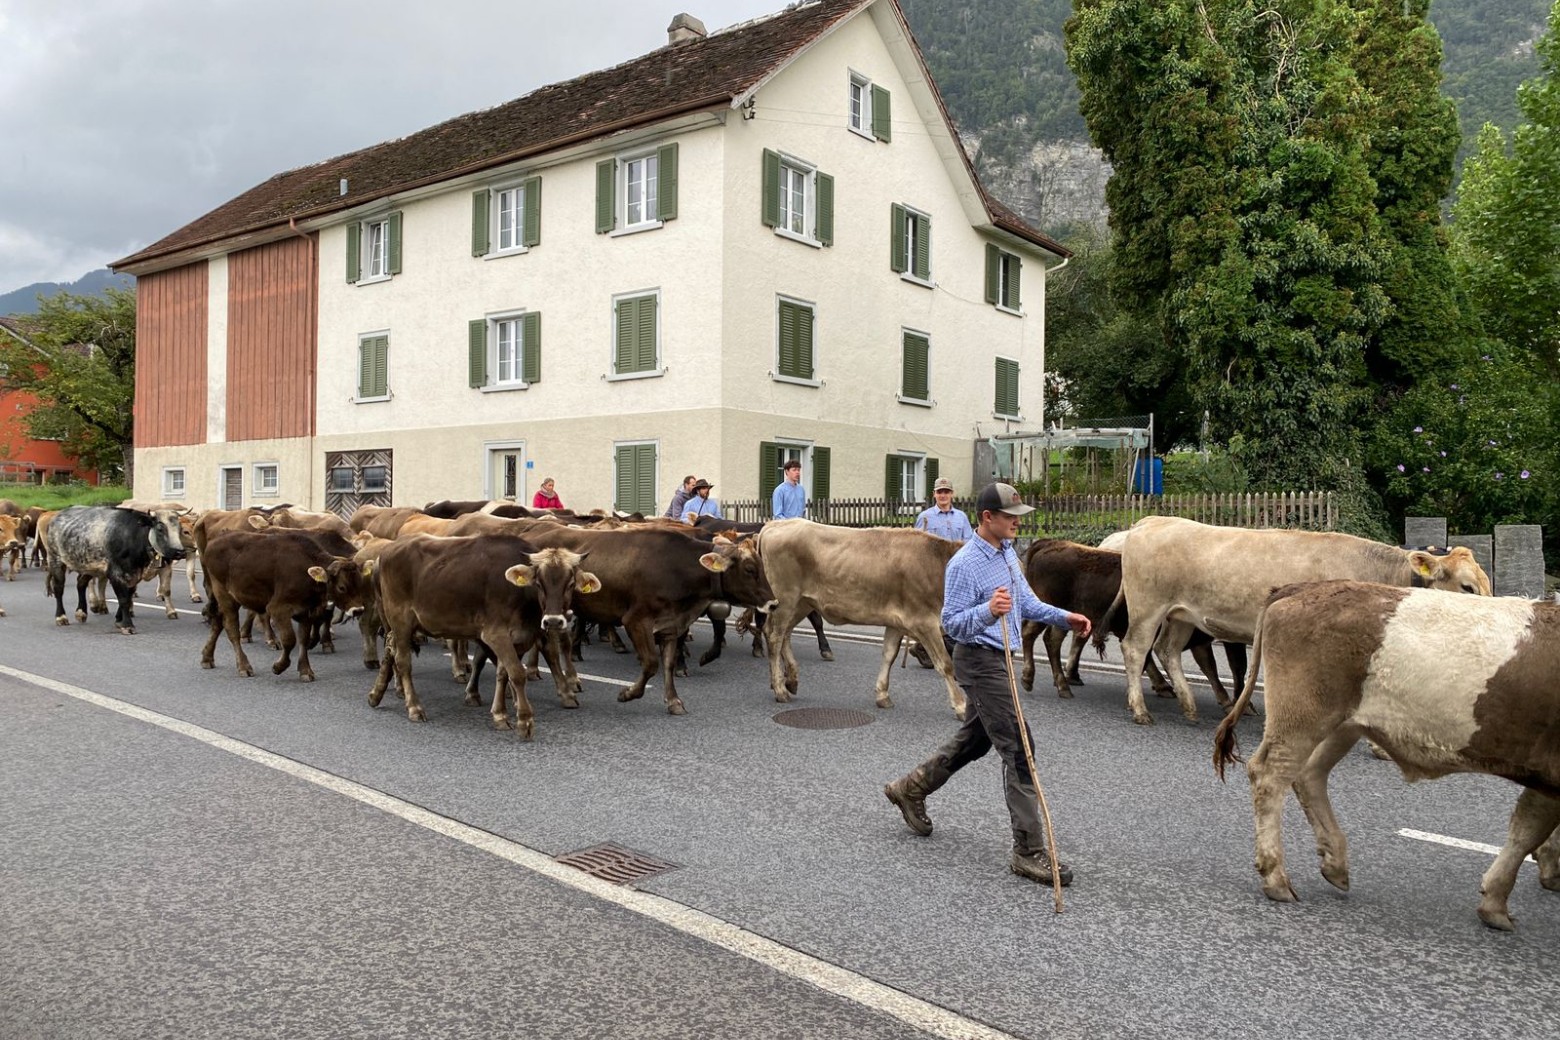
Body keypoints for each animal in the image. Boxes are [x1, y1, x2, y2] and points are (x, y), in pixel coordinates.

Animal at [47, 505, 185, 636]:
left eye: (180, 529)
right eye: (160, 529)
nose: (179, 552)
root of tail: (58, 515)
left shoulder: (134, 575)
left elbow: (128, 597)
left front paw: (119, 620)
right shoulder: (115, 573)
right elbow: (123, 599)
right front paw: (128, 625)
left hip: (88, 566)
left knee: (80, 584)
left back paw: (81, 612)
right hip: (55, 560)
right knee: (59, 588)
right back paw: (61, 617)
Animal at [1116, 517, 1491, 723]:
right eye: (1467, 587)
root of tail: (1152, 520)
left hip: (1182, 615)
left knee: (1167, 650)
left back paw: (1189, 704)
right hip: (1148, 608)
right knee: (1136, 649)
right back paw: (1140, 710)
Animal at [1216, 583, 1560, 929]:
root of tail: (1306, 587)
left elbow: (1528, 827)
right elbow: (1529, 831)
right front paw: (1499, 903)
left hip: (1344, 723)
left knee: (1309, 774)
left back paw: (1335, 863)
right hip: (1302, 718)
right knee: (1270, 777)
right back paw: (1276, 877)